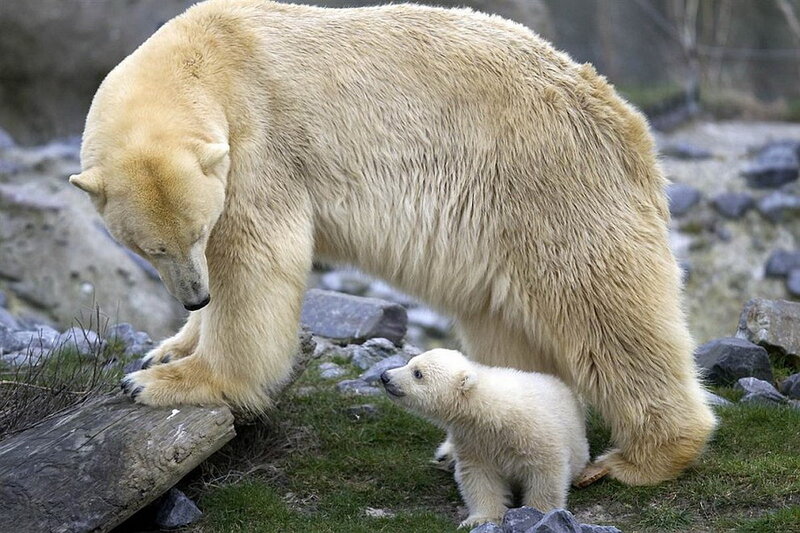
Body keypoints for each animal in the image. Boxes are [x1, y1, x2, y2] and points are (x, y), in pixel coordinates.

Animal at [69, 0, 716, 485]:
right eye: (149, 248)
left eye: (196, 231)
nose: (193, 297)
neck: (205, 56)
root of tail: (626, 121)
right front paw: (167, 349)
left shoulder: (258, 143)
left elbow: (252, 262)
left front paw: (164, 381)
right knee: (507, 326)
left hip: (549, 186)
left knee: (604, 308)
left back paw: (641, 457)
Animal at [381, 349, 590, 528]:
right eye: (410, 362)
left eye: (418, 373)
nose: (385, 376)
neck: (493, 412)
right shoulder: (474, 441)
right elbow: (480, 477)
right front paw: (480, 519)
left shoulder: (535, 433)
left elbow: (546, 473)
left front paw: (539, 512)